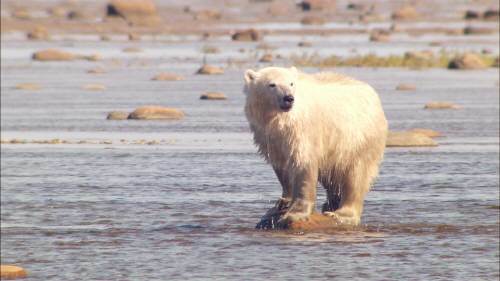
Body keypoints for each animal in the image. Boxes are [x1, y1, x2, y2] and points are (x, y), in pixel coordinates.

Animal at [244, 65, 388, 228]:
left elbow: (303, 165)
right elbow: (282, 168)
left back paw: (341, 213)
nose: (288, 98)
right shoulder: (270, 138)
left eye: (291, 83)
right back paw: (330, 204)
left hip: (358, 138)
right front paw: (281, 204)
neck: (280, 119)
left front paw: (294, 214)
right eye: (272, 84)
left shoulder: (302, 131)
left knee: (356, 175)